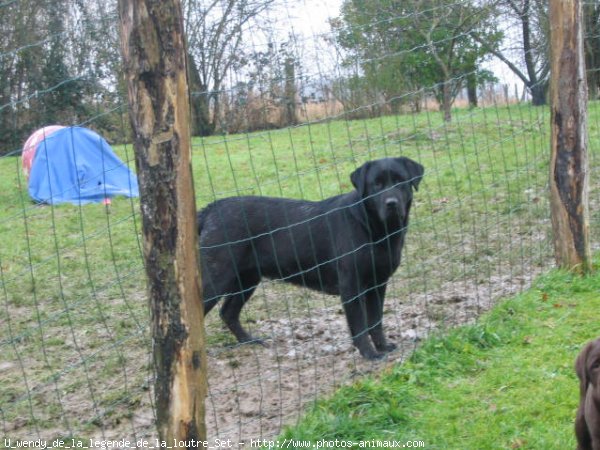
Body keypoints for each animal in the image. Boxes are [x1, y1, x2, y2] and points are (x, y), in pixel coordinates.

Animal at [199, 156, 424, 360]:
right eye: (376, 184)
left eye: (400, 181)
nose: (391, 203)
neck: (374, 228)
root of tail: (211, 209)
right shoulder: (351, 286)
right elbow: (360, 326)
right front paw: (370, 354)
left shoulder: (378, 284)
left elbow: (376, 322)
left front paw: (383, 347)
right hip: (216, 279)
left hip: (247, 278)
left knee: (228, 312)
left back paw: (249, 341)